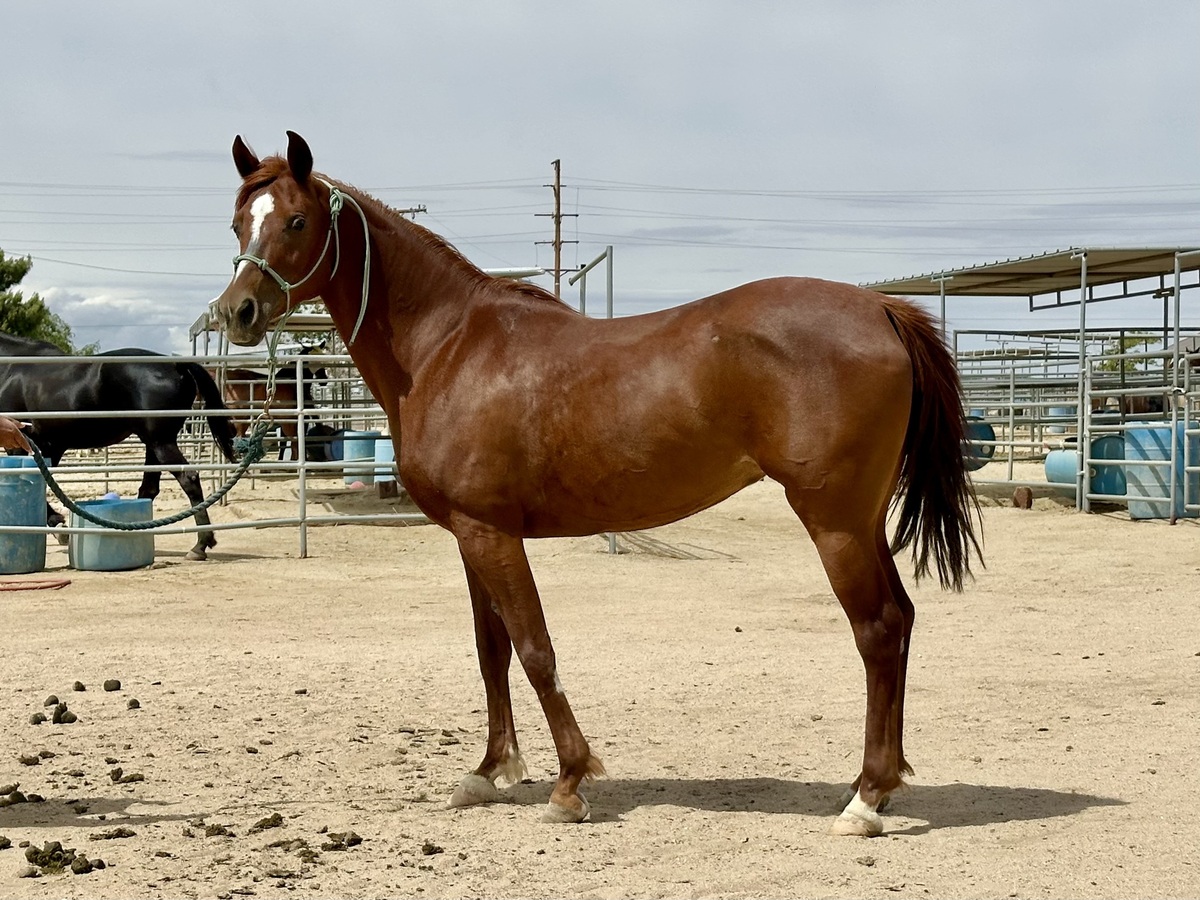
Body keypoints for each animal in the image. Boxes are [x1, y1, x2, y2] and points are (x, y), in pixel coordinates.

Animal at [0, 331, 237, 560]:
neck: (11, 367)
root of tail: (175, 365)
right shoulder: (51, 446)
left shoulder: (21, 445)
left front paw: (58, 525)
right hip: (153, 444)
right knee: (149, 488)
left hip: (161, 443)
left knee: (189, 480)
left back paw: (200, 545)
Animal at [212, 132, 982, 836]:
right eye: (238, 222)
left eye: (297, 222)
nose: (237, 312)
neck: (448, 346)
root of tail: (882, 310)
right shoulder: (469, 535)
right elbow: (491, 651)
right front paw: (489, 770)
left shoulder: (492, 534)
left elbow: (534, 650)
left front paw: (569, 783)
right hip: (863, 520)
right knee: (902, 620)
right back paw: (880, 783)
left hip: (834, 522)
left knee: (878, 630)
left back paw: (865, 800)